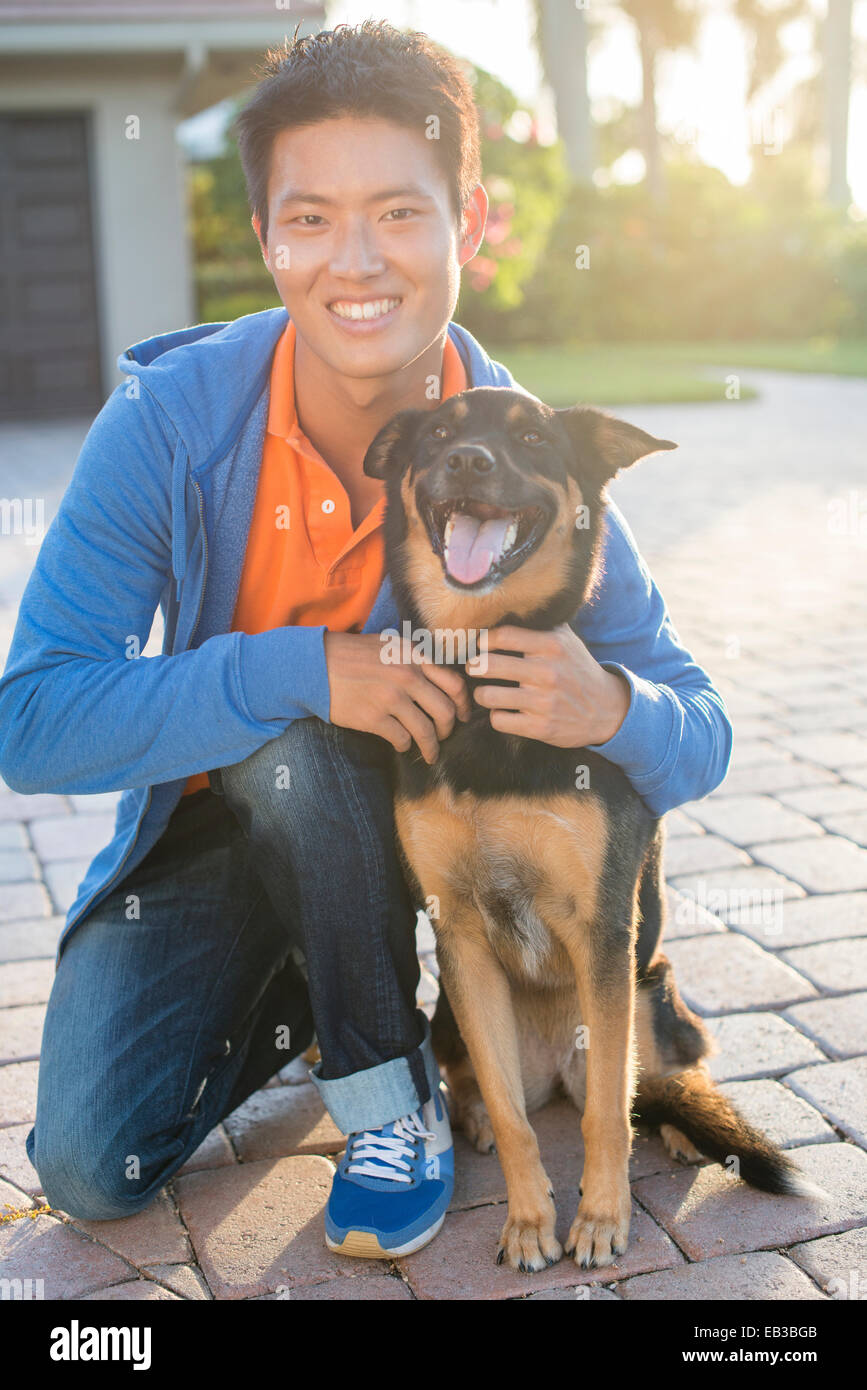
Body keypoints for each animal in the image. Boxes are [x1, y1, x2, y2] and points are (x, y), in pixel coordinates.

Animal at [361, 389, 816, 1273]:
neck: (484, 671)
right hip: (450, 1012)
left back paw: (683, 1131)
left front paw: (601, 1220)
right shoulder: (458, 937)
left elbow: (609, 1111)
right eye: (438, 432)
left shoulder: (602, 930)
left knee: (653, 1087)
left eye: (533, 439)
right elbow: (515, 1123)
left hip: (647, 990)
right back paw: (472, 1115)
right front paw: (529, 1222)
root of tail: (555, 1068)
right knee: (490, 1087)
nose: (465, 459)